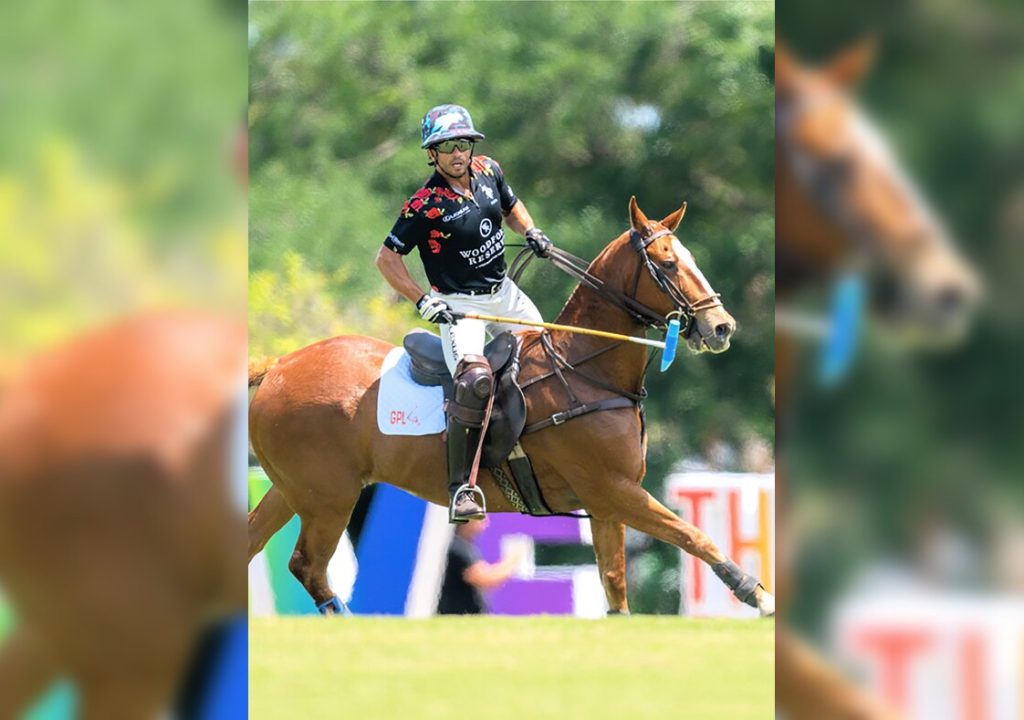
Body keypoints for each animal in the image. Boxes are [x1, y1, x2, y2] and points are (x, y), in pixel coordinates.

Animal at [247, 196, 776, 618]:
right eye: (666, 264)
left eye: (689, 258)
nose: (721, 327)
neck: (585, 370)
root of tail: (277, 365)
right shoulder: (613, 489)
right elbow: (693, 535)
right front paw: (758, 594)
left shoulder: (605, 503)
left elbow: (615, 587)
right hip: (329, 496)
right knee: (308, 565)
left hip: (295, 489)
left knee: (257, 546)